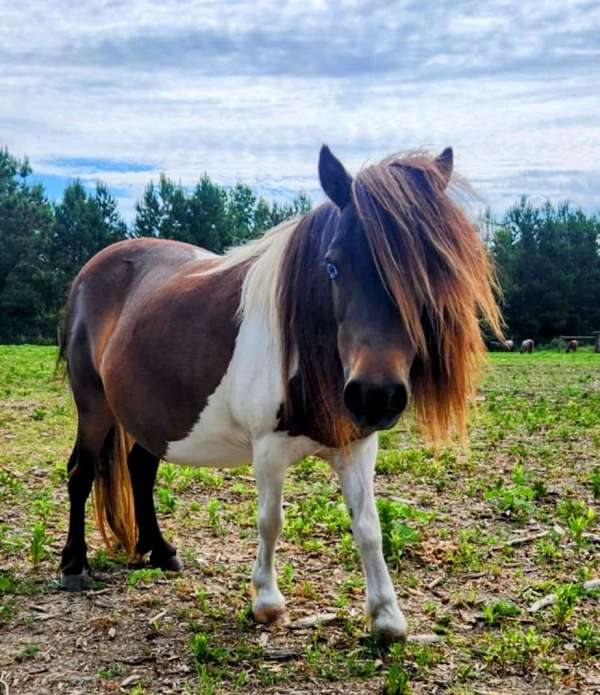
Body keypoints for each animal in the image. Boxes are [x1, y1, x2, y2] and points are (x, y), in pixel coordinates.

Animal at [59, 145, 502, 640]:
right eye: (332, 266)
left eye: (429, 270)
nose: (374, 395)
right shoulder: (268, 447)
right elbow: (271, 521)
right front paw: (266, 602)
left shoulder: (357, 446)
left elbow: (369, 527)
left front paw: (386, 616)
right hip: (94, 406)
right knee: (81, 471)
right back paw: (73, 565)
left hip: (150, 416)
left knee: (140, 469)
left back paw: (161, 551)